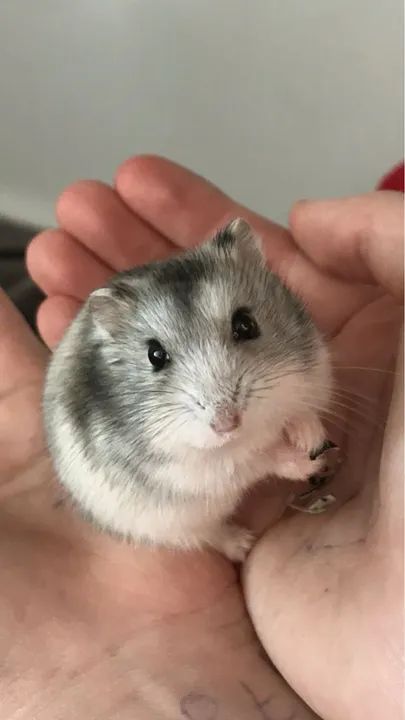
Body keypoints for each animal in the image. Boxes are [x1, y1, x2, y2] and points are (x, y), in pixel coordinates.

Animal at [43, 219, 332, 561]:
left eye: (246, 324)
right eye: (155, 355)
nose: (227, 424)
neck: (246, 435)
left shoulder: (314, 377)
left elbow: (302, 411)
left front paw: (312, 439)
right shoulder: (193, 472)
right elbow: (255, 460)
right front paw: (309, 462)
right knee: (205, 535)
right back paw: (242, 544)